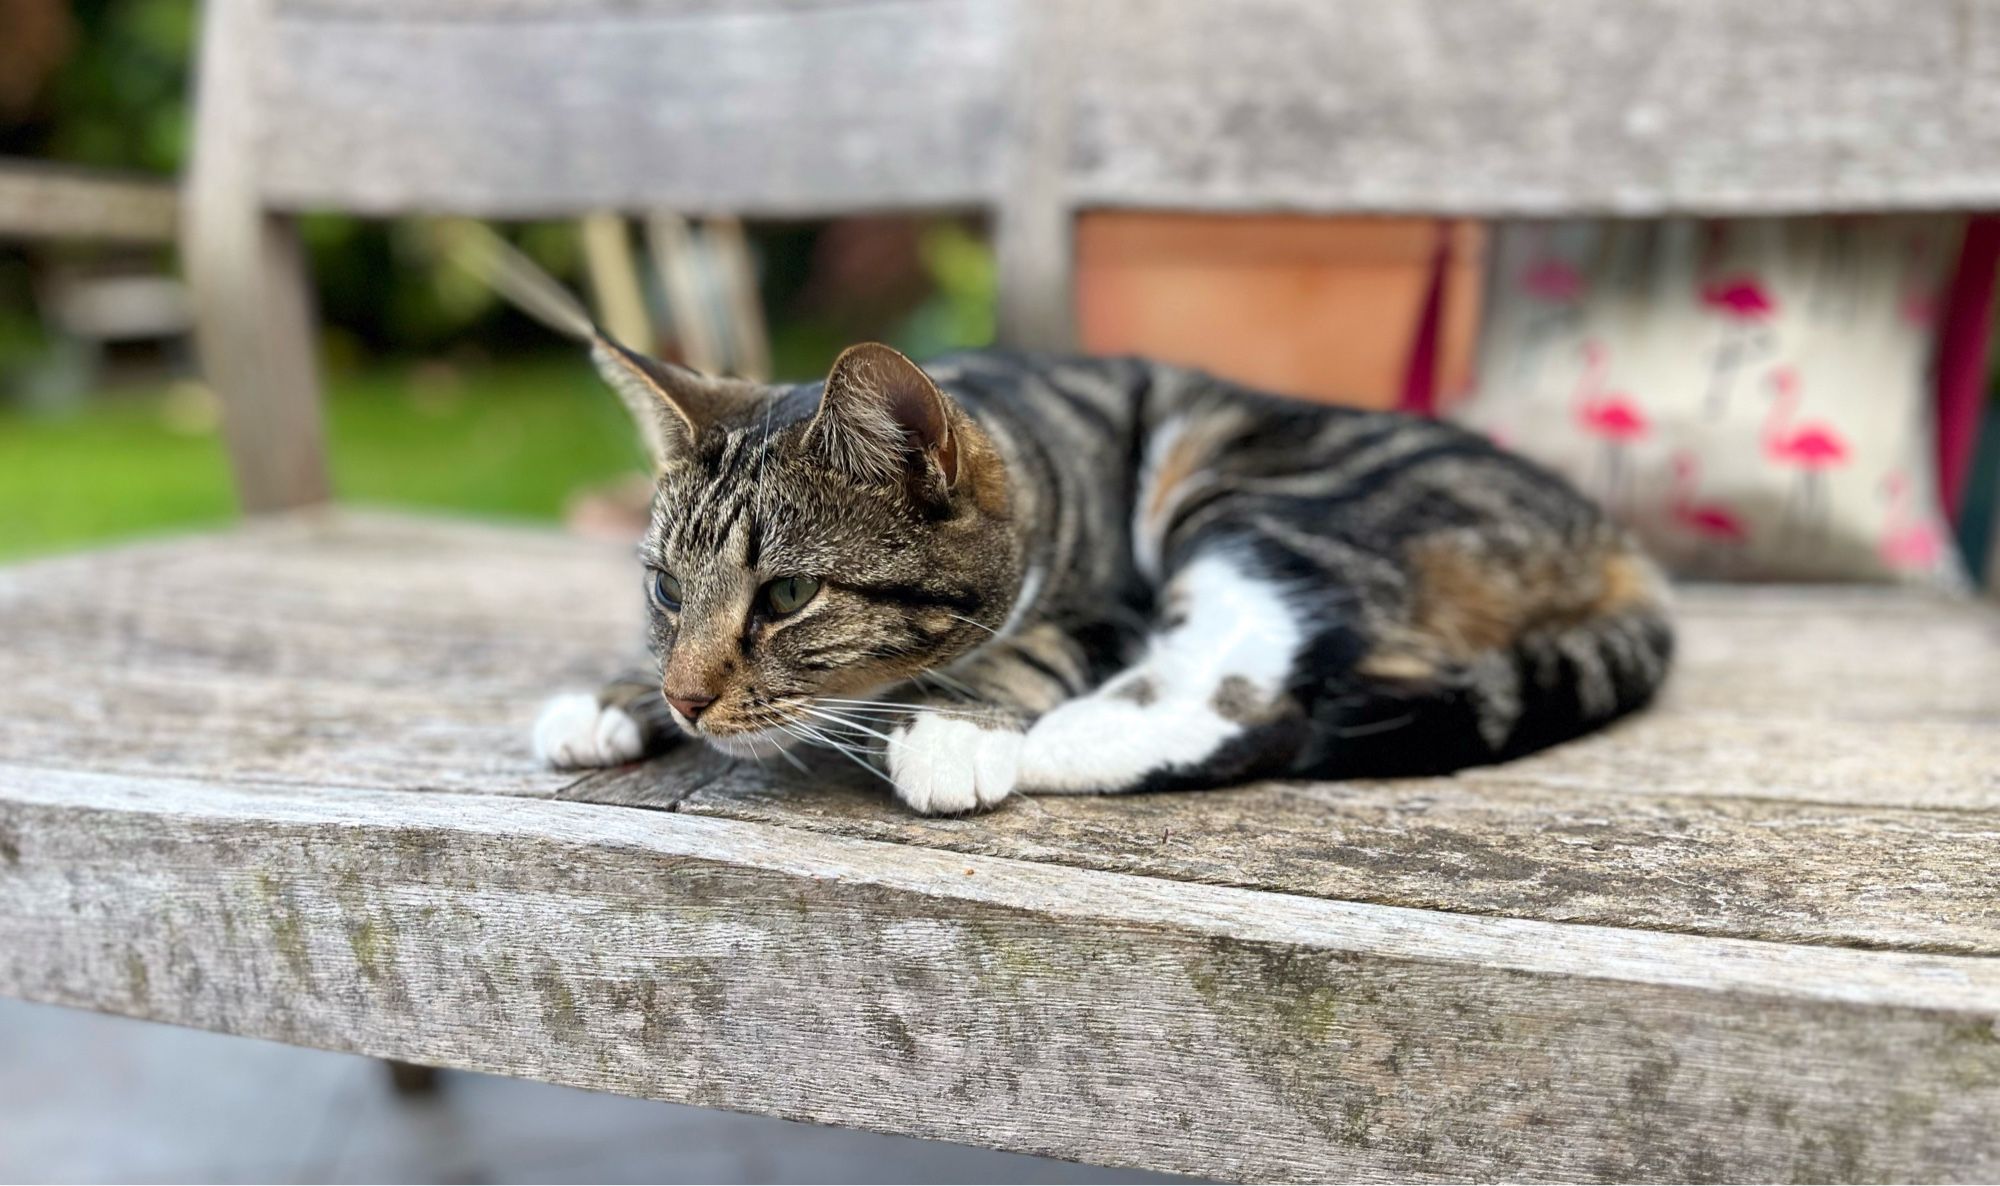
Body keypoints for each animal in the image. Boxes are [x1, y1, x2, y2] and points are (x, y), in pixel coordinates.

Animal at [536, 338, 1672, 808]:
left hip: (1254, 489)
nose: (684, 702)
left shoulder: (1114, 599)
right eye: (666, 590)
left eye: (785, 595)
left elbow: (1031, 646)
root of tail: (1615, 544)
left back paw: (1053, 746)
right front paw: (611, 698)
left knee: (1245, 682)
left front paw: (955, 725)